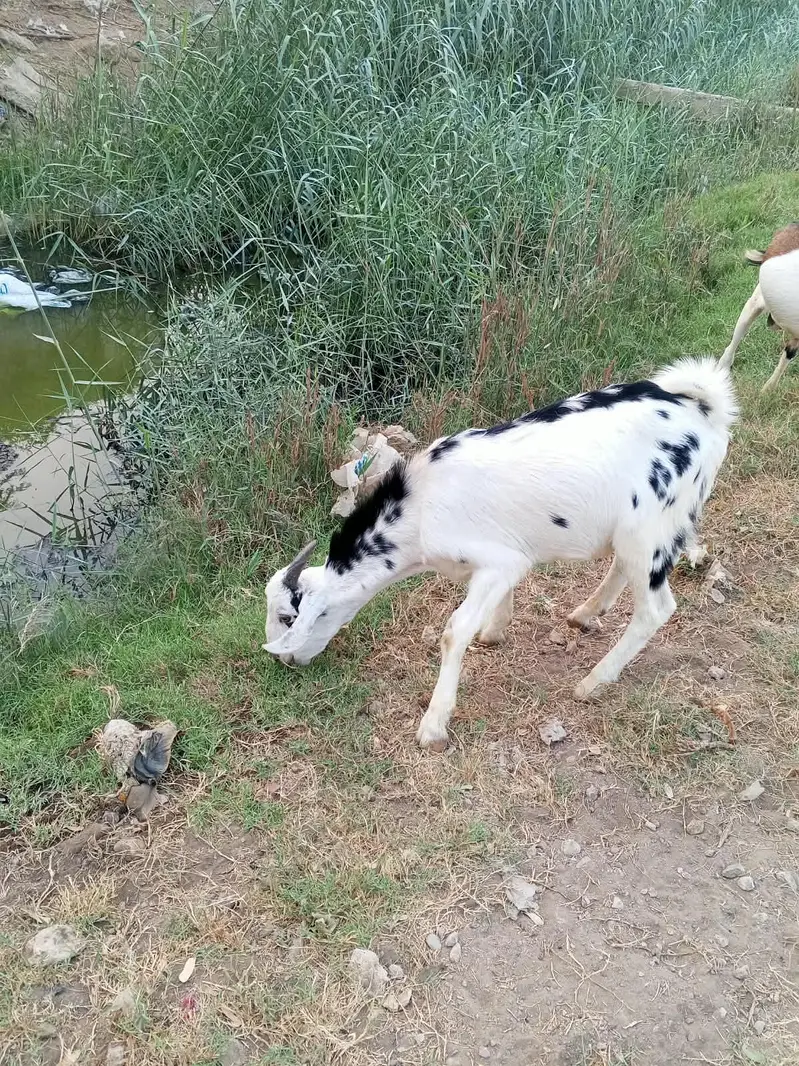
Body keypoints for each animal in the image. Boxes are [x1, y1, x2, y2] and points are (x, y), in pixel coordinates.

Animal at [263, 358, 737, 751]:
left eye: (289, 618)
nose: (286, 660)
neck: (419, 507)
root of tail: (702, 409)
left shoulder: (496, 561)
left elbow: (454, 630)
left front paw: (434, 726)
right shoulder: (507, 558)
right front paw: (495, 631)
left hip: (653, 528)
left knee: (655, 608)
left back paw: (593, 682)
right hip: (638, 530)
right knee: (622, 566)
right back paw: (584, 614)